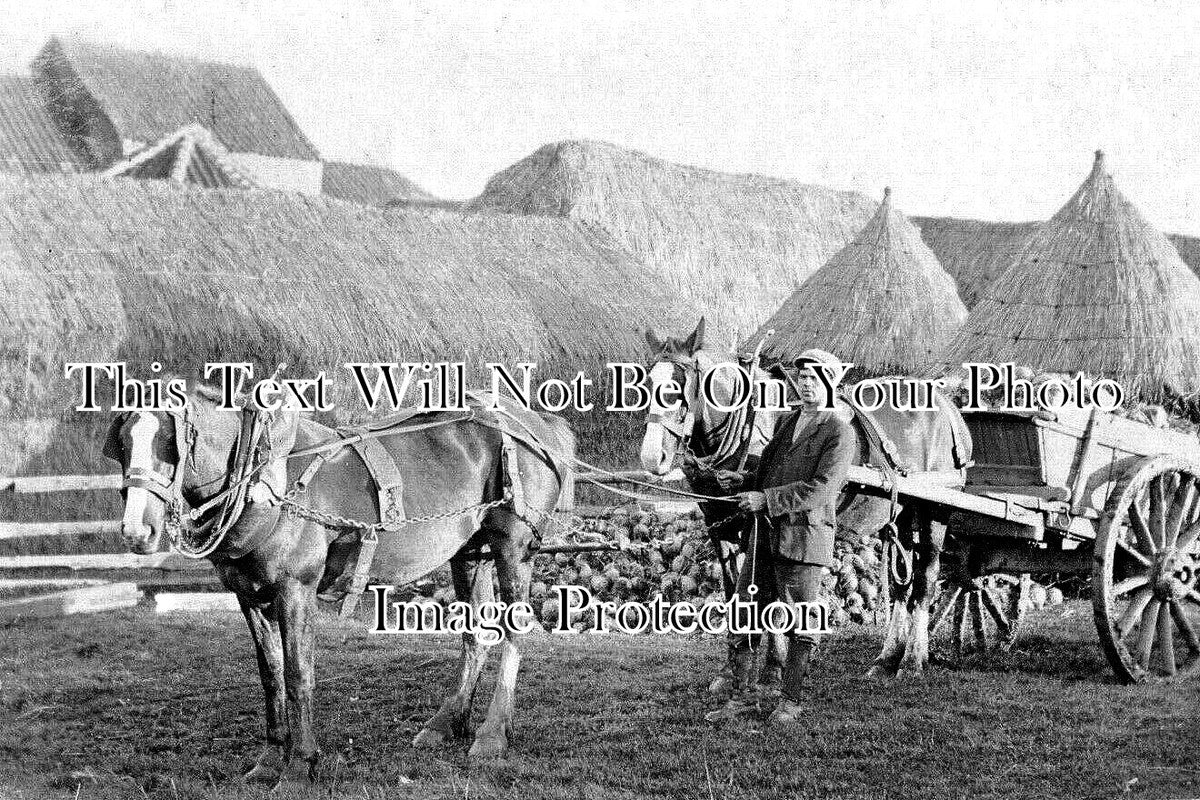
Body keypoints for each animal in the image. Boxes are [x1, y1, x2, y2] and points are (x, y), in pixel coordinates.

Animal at [102, 383, 571, 786]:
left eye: (170, 442)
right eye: (122, 443)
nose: (137, 530)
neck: (263, 479)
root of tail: (535, 423)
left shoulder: (296, 590)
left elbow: (298, 674)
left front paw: (298, 767)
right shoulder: (249, 596)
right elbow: (271, 676)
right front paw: (268, 761)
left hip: (513, 548)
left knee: (513, 631)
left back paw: (492, 735)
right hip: (468, 553)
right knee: (475, 636)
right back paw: (446, 724)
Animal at [643, 319, 969, 681]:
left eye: (679, 386)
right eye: (645, 382)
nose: (651, 457)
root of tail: (947, 407)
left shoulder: (764, 521)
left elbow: (773, 598)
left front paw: (774, 666)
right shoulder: (720, 528)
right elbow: (734, 593)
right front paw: (731, 670)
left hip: (935, 511)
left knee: (926, 579)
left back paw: (912, 660)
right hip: (900, 512)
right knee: (902, 584)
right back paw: (887, 657)